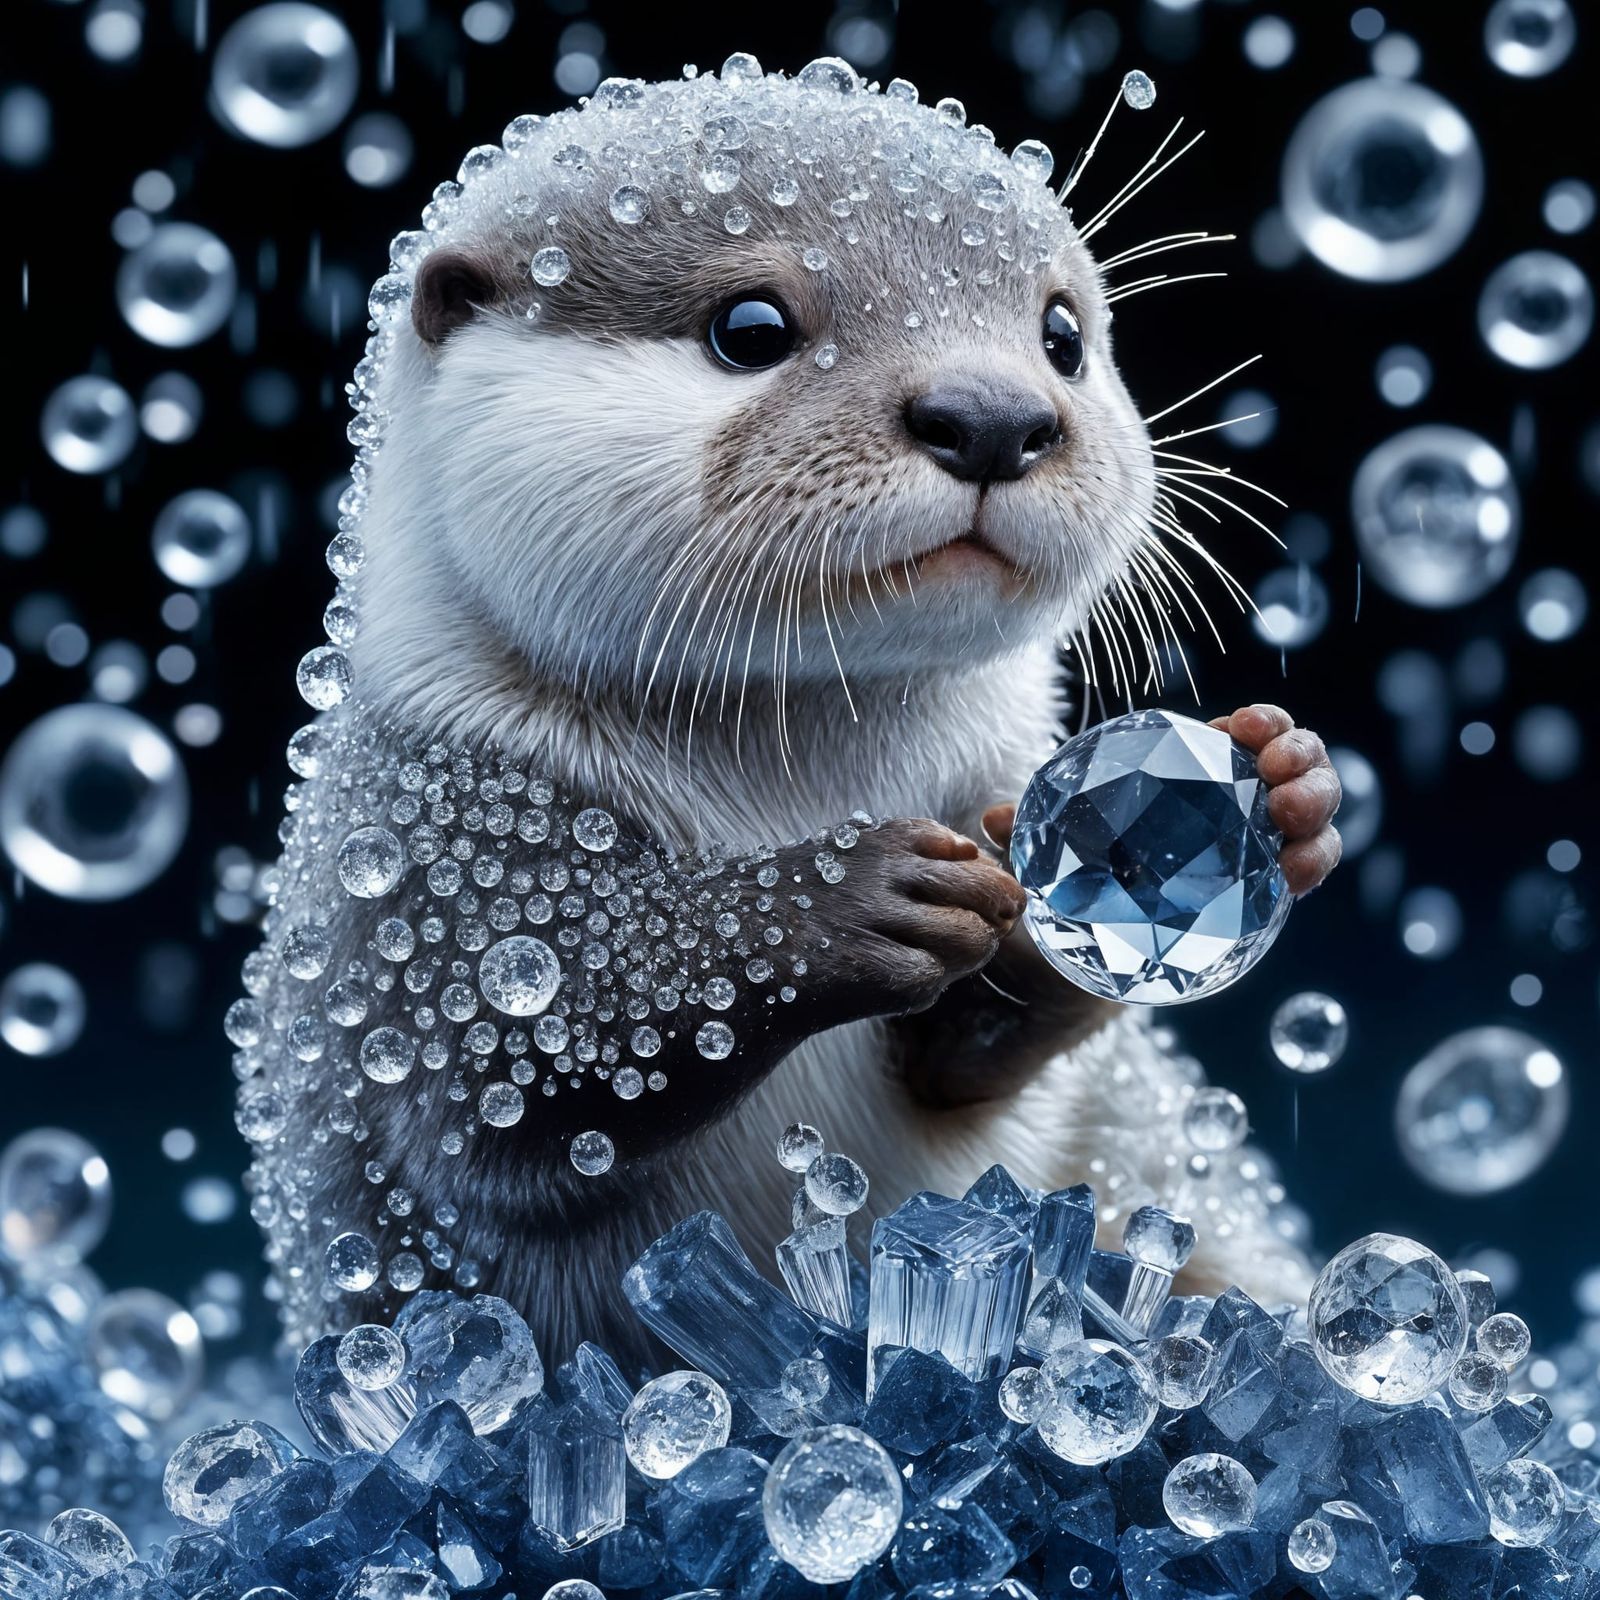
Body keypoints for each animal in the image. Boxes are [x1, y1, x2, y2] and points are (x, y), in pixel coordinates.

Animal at [231, 57, 1342, 1365]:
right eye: (750, 327)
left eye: (1061, 334)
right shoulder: (421, 858)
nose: (992, 414)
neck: (793, 784)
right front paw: (846, 896)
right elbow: (505, 1087)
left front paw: (1269, 788)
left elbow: (971, 1056)